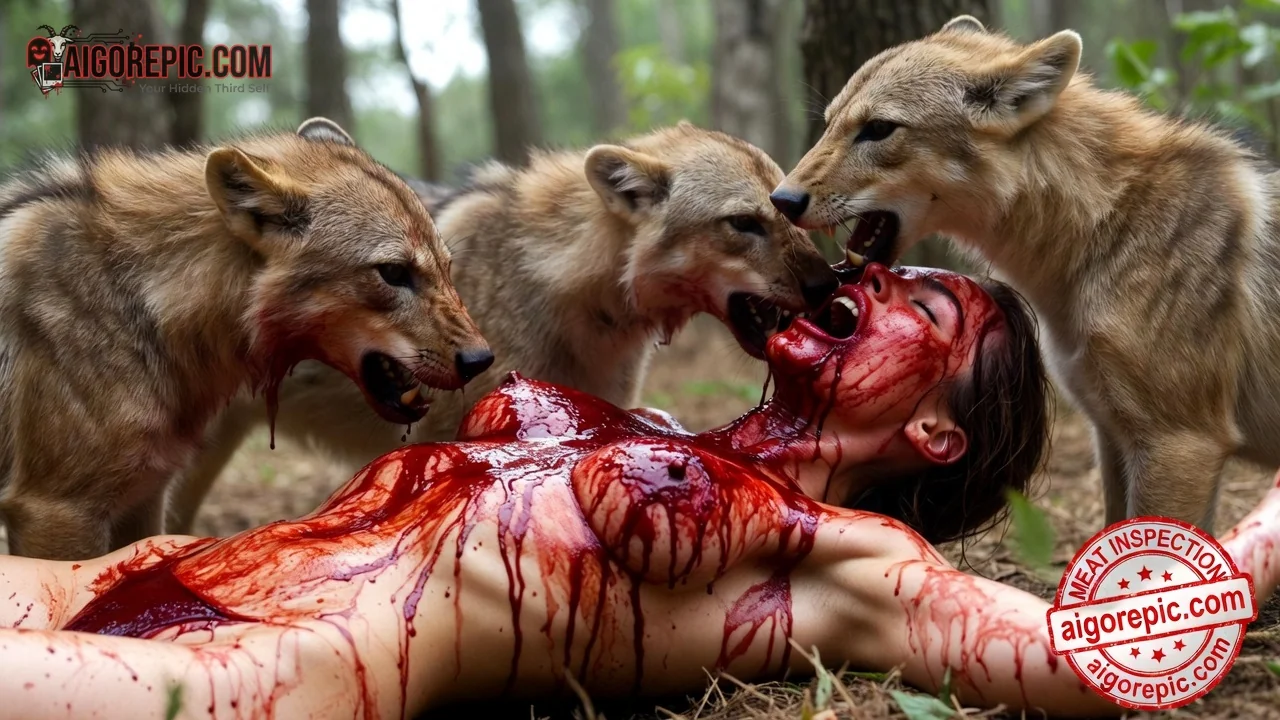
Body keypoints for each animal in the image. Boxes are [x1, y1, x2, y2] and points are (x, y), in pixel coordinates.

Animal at [0, 118, 492, 559]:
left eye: (447, 267)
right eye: (393, 272)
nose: (482, 360)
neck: (142, 300)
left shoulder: (144, 498)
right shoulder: (57, 512)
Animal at [770, 15, 1280, 530]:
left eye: (878, 129)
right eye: (830, 122)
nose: (781, 199)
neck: (1106, 226)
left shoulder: (1180, 444)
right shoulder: (1112, 435)